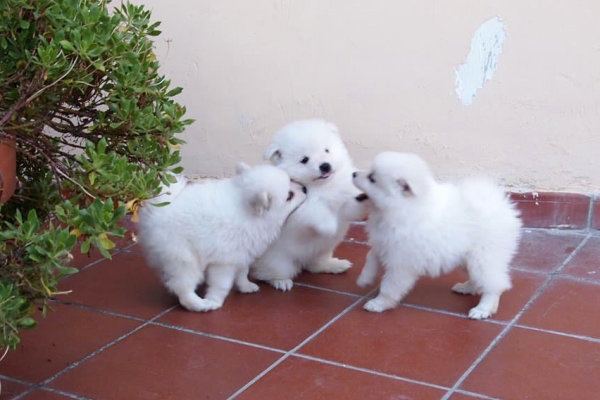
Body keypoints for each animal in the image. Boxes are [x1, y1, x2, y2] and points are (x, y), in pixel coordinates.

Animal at [137, 163, 304, 312]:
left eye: (291, 179)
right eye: (289, 196)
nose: (304, 189)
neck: (248, 213)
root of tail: (156, 212)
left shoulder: (242, 252)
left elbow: (242, 272)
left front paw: (246, 286)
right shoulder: (224, 261)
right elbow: (221, 284)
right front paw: (214, 300)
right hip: (183, 257)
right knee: (183, 287)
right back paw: (199, 304)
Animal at [250, 119, 366, 290]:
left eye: (327, 150)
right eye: (305, 159)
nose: (325, 166)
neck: (323, 186)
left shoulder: (345, 203)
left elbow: (350, 208)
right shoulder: (299, 208)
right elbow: (315, 212)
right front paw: (329, 226)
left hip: (323, 250)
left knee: (315, 265)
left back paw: (333, 265)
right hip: (278, 261)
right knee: (266, 273)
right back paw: (280, 281)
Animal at [352, 152, 520, 320]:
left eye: (372, 178)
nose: (353, 173)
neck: (401, 207)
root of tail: (501, 205)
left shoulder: (401, 261)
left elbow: (389, 286)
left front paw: (378, 303)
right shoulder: (383, 243)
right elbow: (371, 257)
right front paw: (364, 278)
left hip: (484, 257)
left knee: (493, 284)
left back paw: (483, 309)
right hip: (467, 257)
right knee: (477, 278)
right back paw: (466, 288)